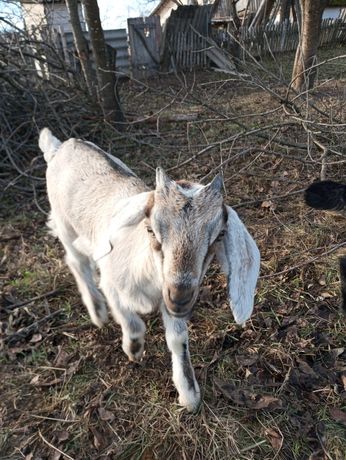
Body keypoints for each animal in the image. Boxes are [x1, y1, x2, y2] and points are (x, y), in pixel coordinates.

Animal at [39, 127, 260, 412]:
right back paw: (97, 312)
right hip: (65, 225)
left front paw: (189, 394)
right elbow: (132, 322)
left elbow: (178, 339)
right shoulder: (112, 284)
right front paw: (134, 350)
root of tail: (60, 146)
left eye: (219, 235)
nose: (180, 297)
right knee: (76, 261)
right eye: (151, 229)